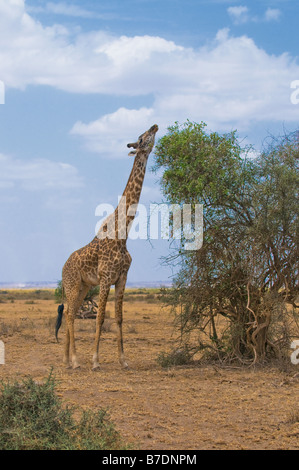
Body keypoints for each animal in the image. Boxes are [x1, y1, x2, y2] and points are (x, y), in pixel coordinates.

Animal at [55, 125, 159, 370]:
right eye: (142, 137)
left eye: (147, 133)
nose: (155, 126)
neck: (122, 236)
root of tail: (63, 267)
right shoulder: (105, 279)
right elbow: (101, 317)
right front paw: (95, 361)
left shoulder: (122, 279)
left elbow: (119, 318)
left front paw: (123, 360)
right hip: (72, 285)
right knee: (71, 315)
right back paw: (76, 360)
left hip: (83, 287)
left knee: (71, 312)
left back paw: (67, 359)